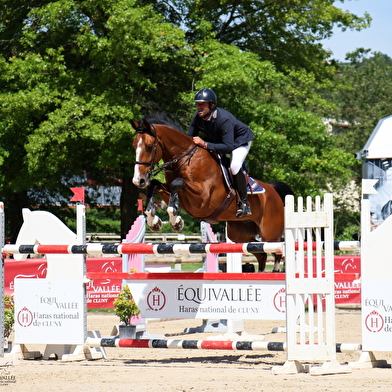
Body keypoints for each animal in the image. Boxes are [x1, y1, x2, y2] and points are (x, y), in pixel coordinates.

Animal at [132, 113, 294, 272]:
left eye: (149, 146)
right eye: (134, 146)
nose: (138, 180)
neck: (186, 159)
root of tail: (272, 190)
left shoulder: (202, 200)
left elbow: (176, 183)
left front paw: (176, 222)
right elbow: (156, 184)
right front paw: (154, 221)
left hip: (269, 233)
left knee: (278, 251)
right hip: (240, 234)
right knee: (261, 254)